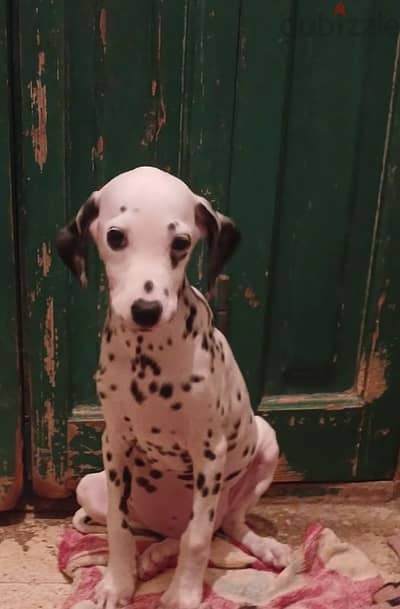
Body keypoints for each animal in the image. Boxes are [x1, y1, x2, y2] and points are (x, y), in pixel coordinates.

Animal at [56, 167, 290, 608]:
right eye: (115, 237)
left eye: (180, 243)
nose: (146, 311)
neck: (147, 358)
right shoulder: (114, 443)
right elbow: (118, 528)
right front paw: (117, 583)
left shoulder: (209, 452)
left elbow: (197, 540)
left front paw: (183, 593)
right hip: (89, 485)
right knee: (156, 535)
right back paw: (152, 556)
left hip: (264, 444)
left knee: (223, 526)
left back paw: (265, 548)